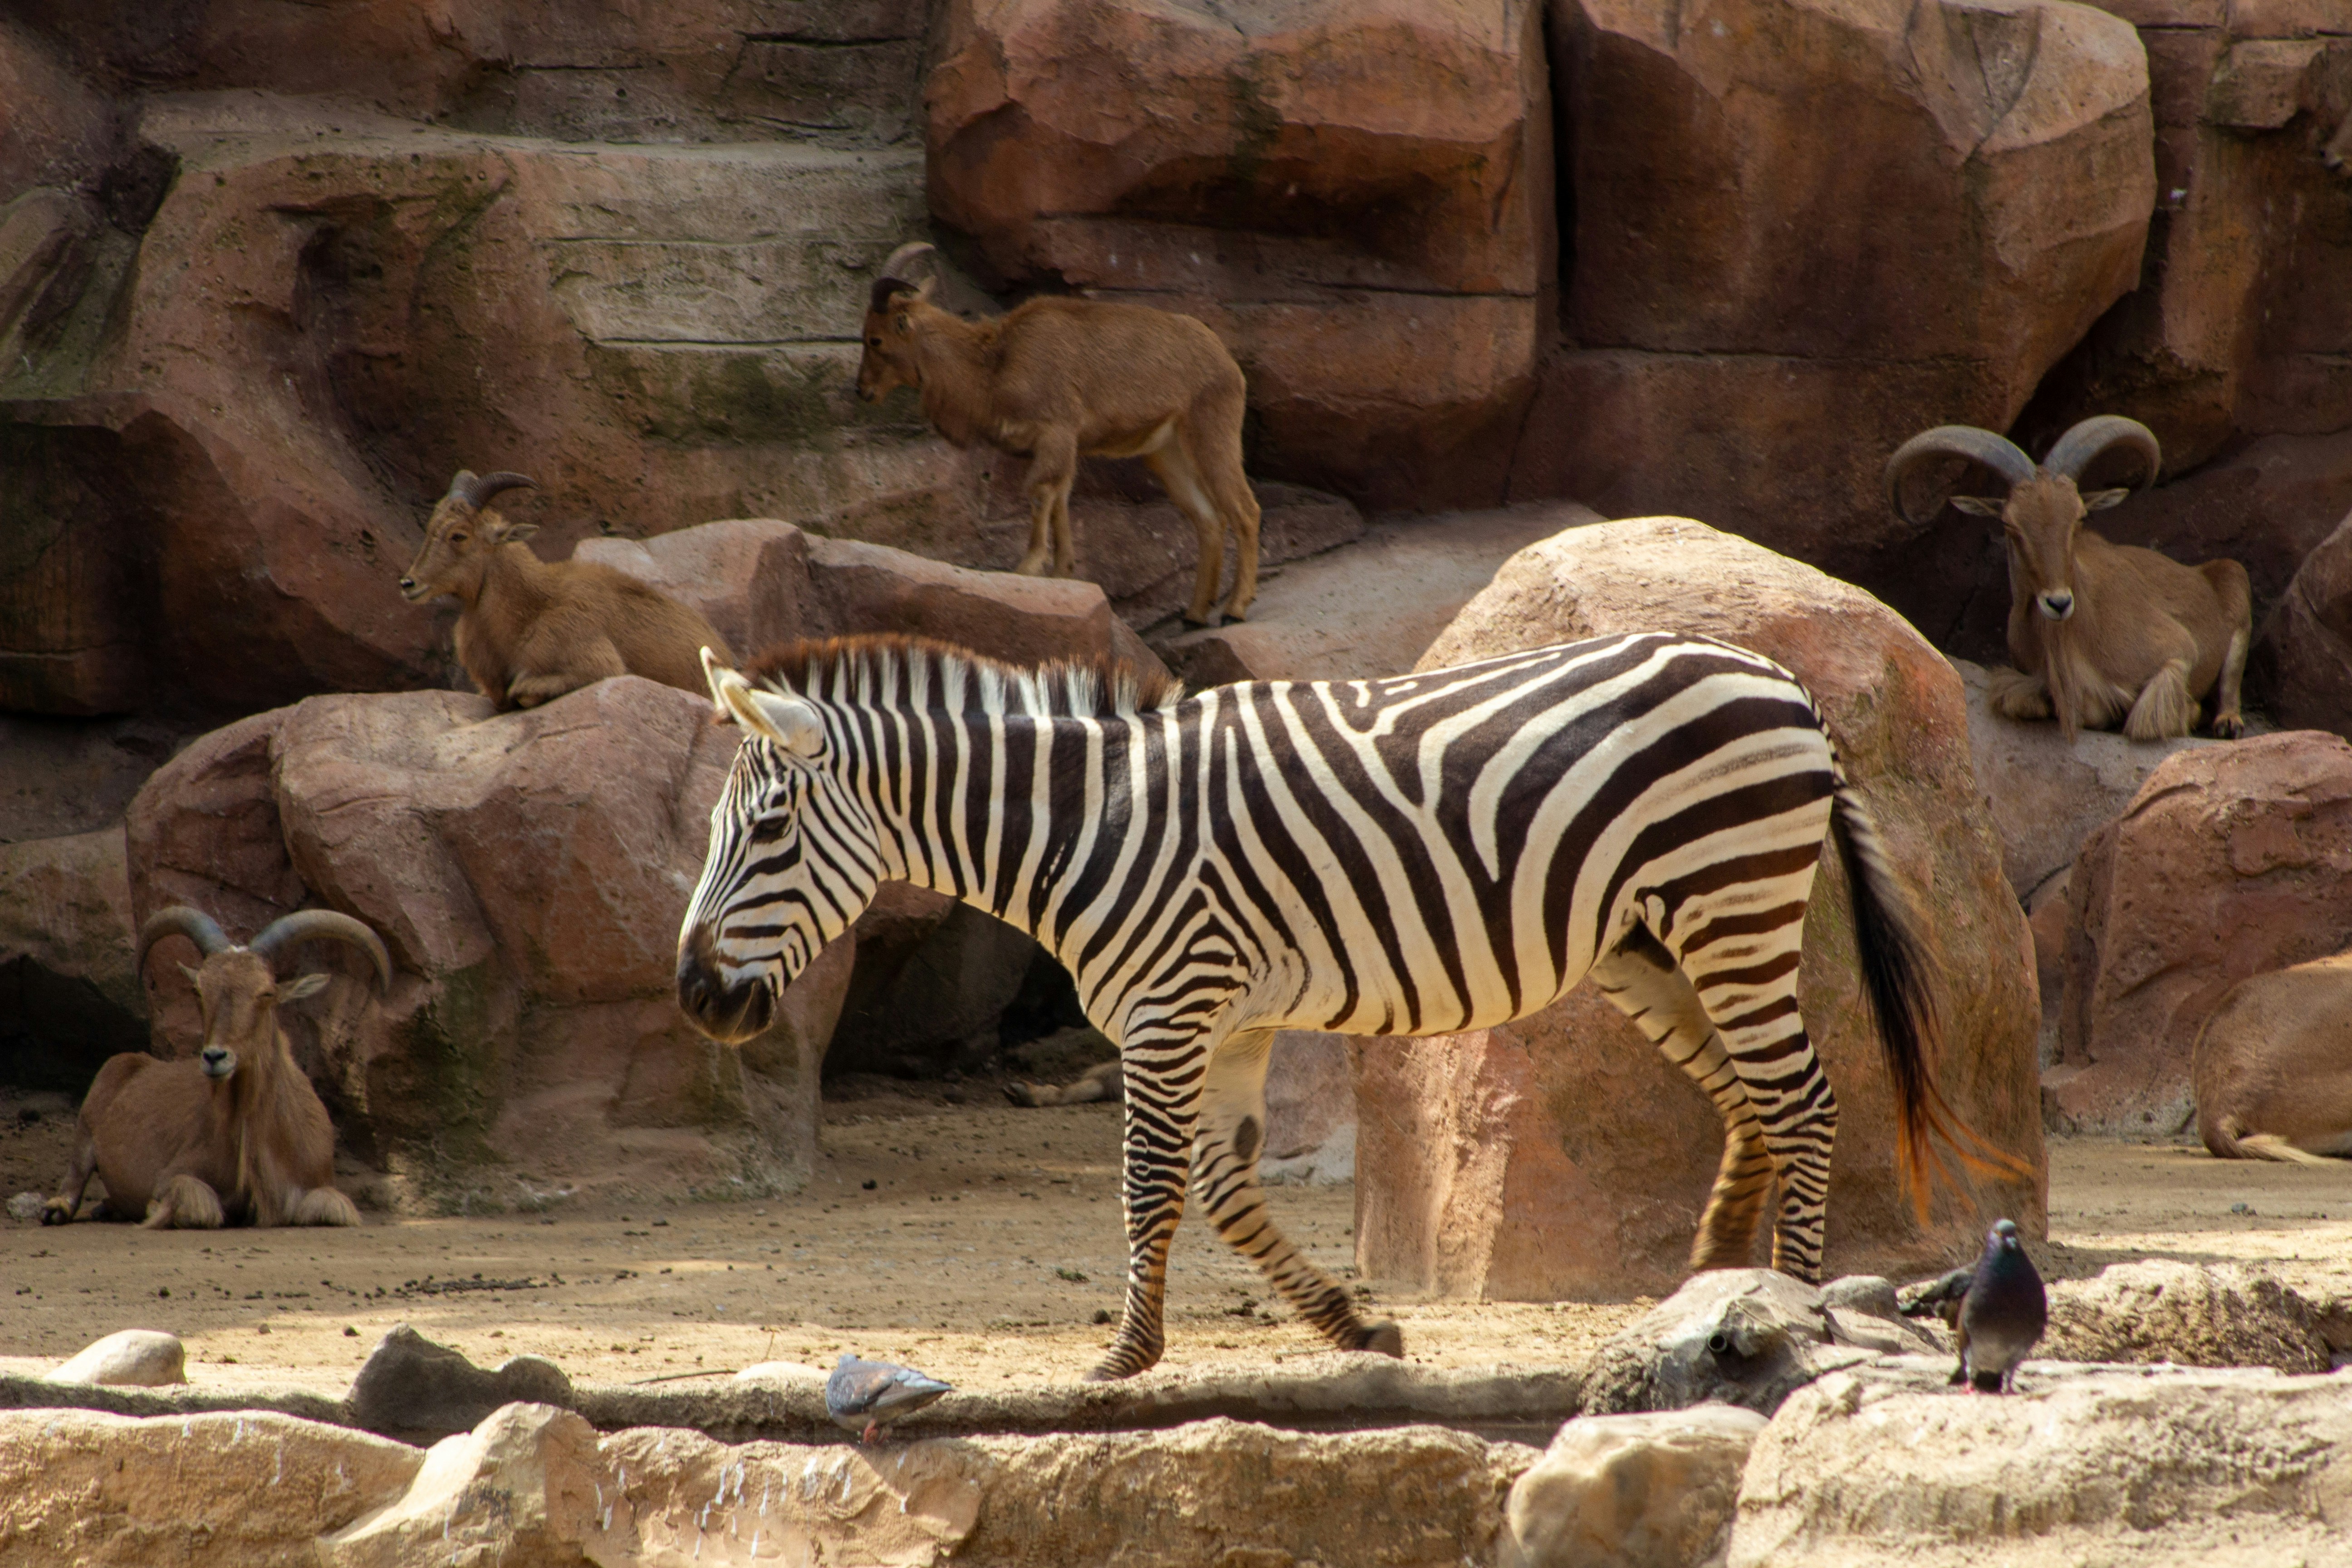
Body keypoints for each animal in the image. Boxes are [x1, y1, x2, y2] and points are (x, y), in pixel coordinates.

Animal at [43, 907, 391, 1229]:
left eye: (267, 992)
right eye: (199, 989)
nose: (214, 1057)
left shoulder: (318, 1185)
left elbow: (332, 1207)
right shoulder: (176, 1173)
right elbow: (198, 1205)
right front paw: (155, 1211)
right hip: (89, 1119)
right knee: (75, 1175)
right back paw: (57, 1209)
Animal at [398, 469, 736, 711]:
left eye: (459, 535)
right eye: (432, 527)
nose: (408, 584)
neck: (529, 611)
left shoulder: (598, 663)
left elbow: (522, 689)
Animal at [676, 631, 2009, 1381]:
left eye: (769, 831)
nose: (692, 995)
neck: (1085, 824)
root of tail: (1781, 679)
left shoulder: (1169, 1006)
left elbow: (1151, 1185)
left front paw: (1125, 1353)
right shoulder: (1230, 1016)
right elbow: (1223, 1183)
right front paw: (1354, 1328)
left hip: (1730, 902)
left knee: (1804, 1097)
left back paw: (1793, 1302)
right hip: (1649, 943)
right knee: (1751, 1097)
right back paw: (1716, 1275)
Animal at [856, 242, 1263, 627]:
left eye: (875, 340)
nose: (862, 391)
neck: (995, 364)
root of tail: (1227, 363)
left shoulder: (1055, 433)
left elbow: (1040, 494)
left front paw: (1029, 567)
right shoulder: (1063, 448)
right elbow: (1061, 500)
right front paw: (1063, 572)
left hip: (1212, 433)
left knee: (1245, 510)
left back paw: (1235, 609)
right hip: (1167, 452)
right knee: (1209, 520)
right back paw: (1195, 615)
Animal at [1887, 415, 2251, 741]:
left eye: (2079, 517)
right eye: (2009, 524)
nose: (2059, 603)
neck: (2078, 634)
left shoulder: (2177, 652)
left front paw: (2191, 713)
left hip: (2237, 587)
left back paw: (2227, 723)